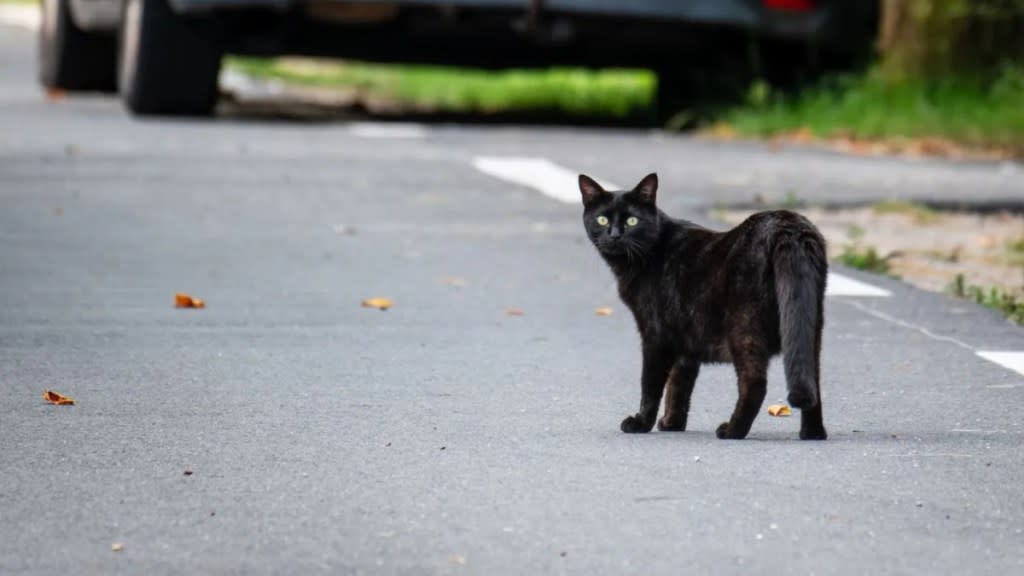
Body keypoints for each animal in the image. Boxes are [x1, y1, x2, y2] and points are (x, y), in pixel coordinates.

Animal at [581, 172, 827, 436]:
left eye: (632, 221)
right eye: (602, 219)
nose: (615, 235)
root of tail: (788, 226)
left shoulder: (655, 335)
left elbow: (651, 385)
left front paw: (641, 423)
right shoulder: (685, 338)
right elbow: (679, 385)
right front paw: (672, 423)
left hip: (744, 327)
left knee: (754, 383)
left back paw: (732, 430)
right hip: (808, 327)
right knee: (813, 380)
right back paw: (812, 433)